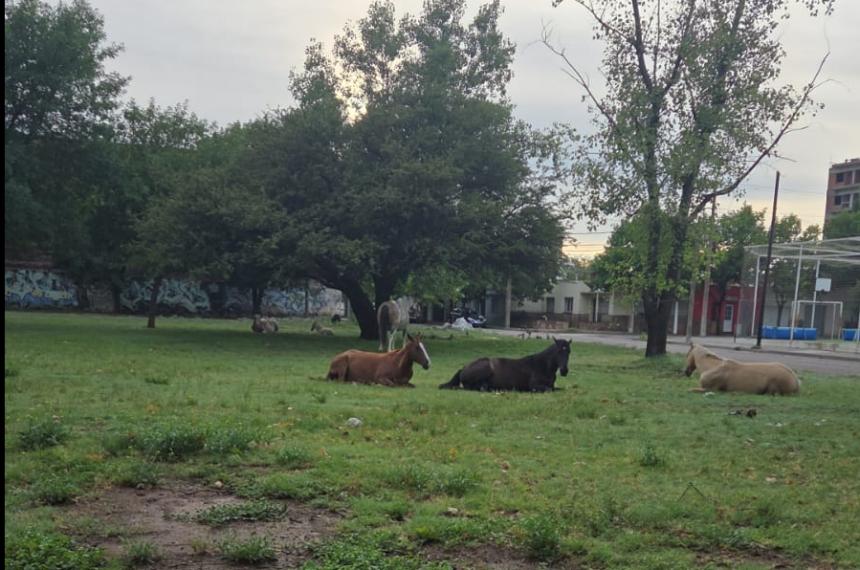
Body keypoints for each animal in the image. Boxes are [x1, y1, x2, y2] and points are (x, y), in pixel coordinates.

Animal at [440, 338, 572, 392]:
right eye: (558, 351)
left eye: (569, 351)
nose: (564, 371)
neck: (542, 366)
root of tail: (463, 368)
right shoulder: (534, 386)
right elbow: (548, 390)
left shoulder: (552, 386)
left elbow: (556, 389)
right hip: (485, 368)